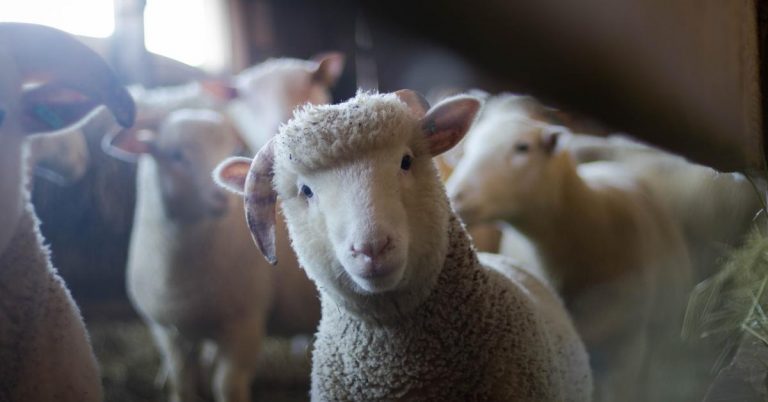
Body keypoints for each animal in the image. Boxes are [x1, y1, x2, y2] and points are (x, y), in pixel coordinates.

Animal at [105, 109, 318, 402]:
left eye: (231, 150)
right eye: (176, 155)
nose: (221, 198)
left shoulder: (245, 323)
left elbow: (227, 385)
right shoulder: (167, 331)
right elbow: (182, 384)